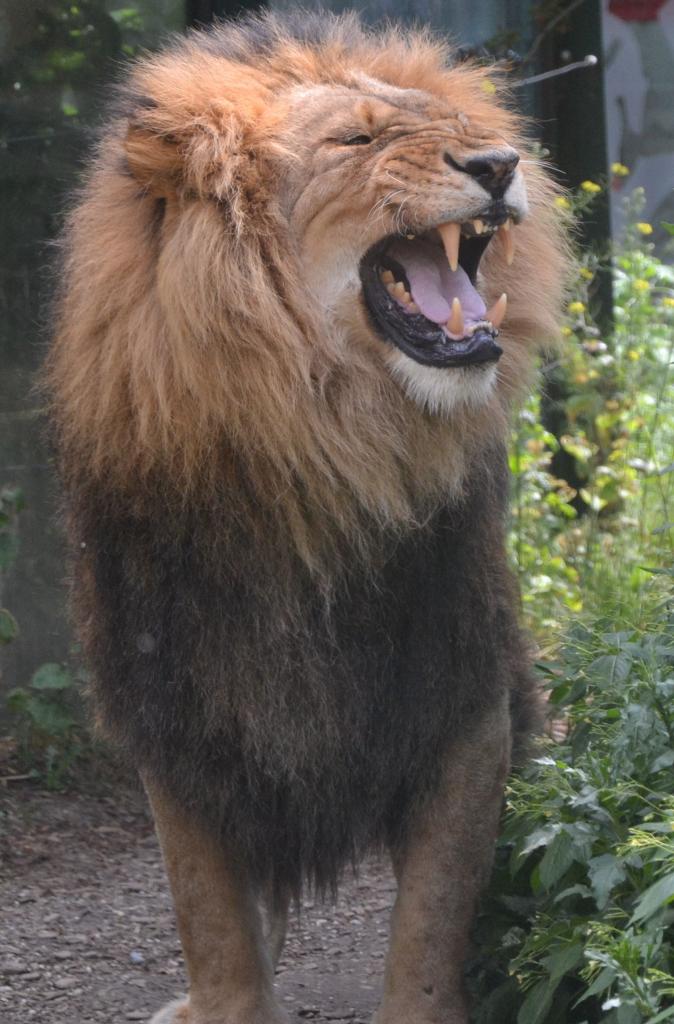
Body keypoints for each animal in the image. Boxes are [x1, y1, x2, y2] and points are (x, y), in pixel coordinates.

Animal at [45, 10, 569, 1024]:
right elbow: (211, 917)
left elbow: (431, 924)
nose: (500, 162)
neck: (319, 460)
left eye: (451, 122)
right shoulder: (175, 703)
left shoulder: (464, 692)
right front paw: (220, 1003)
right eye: (354, 142)